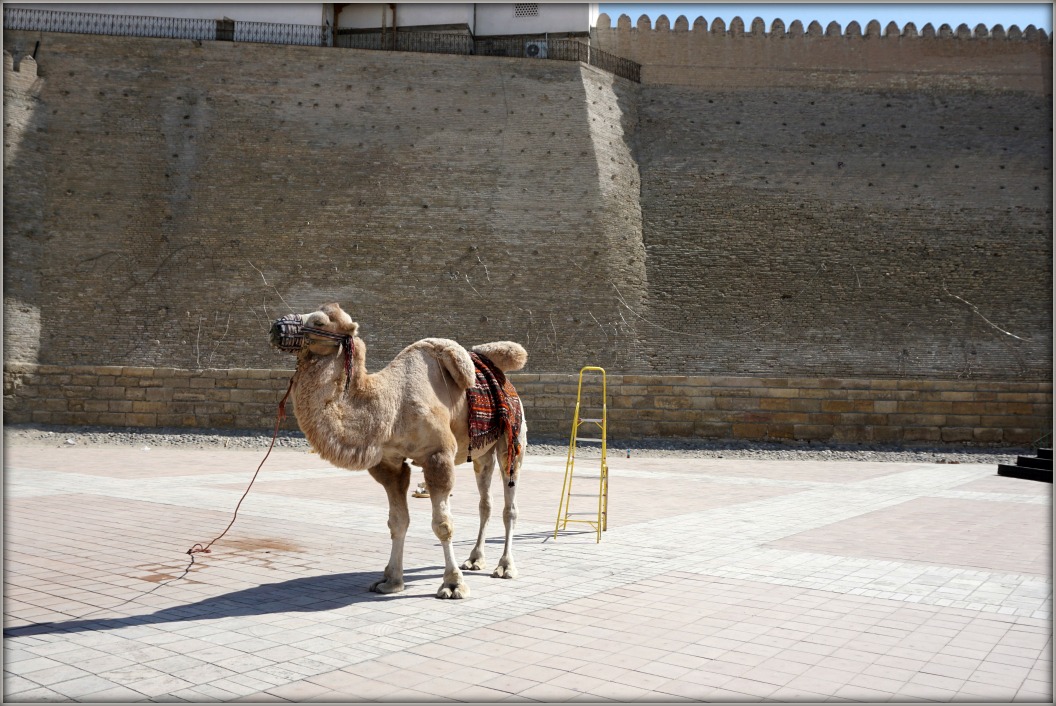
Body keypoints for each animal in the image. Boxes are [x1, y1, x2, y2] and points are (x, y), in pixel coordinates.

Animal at [268, 299, 523, 599]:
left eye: (319, 322)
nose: (276, 327)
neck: (391, 404)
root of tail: (505, 378)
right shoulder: (389, 463)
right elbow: (397, 521)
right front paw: (390, 580)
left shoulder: (438, 455)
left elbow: (442, 525)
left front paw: (452, 584)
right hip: (482, 452)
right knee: (485, 502)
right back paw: (474, 559)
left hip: (512, 441)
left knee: (510, 504)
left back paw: (505, 566)